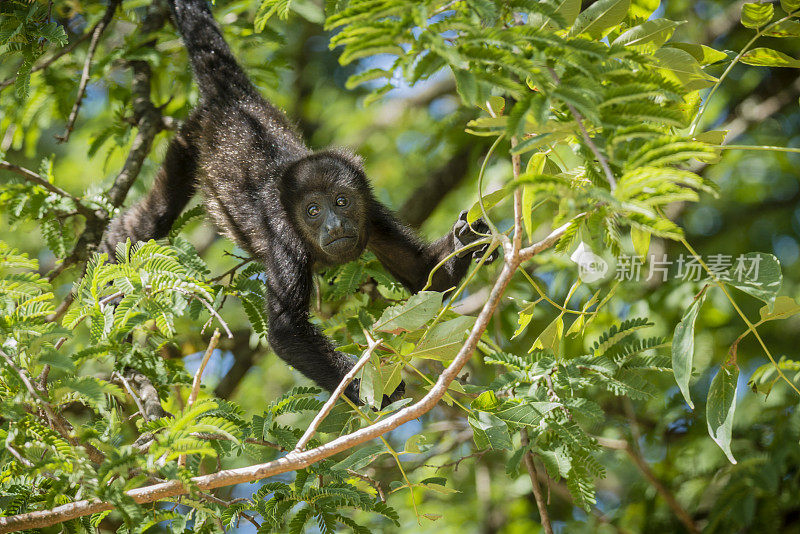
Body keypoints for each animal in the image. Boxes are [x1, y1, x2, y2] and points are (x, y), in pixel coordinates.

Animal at [101, 0, 494, 406]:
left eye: (342, 201)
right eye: (313, 211)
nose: (335, 226)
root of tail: (235, 101)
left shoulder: (374, 217)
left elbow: (423, 275)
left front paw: (465, 240)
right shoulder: (284, 240)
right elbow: (287, 331)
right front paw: (362, 388)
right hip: (189, 139)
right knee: (154, 217)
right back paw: (115, 259)